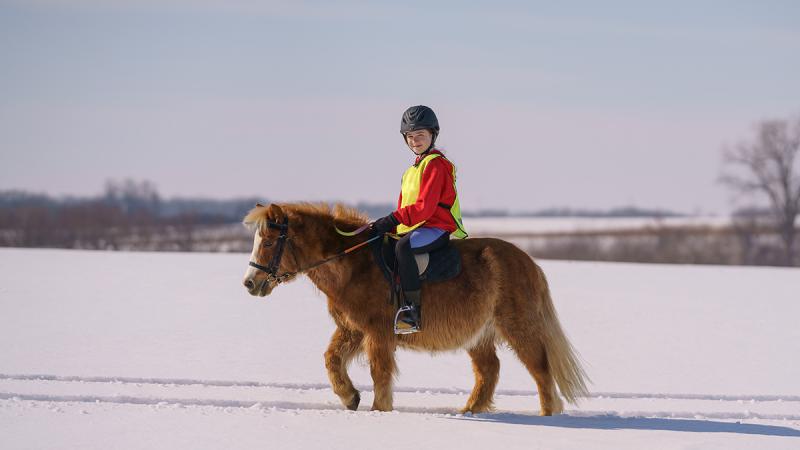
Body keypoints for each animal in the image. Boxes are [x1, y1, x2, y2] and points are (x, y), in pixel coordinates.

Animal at [239, 203, 588, 414]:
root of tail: (529, 262)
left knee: (540, 369)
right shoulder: (352, 328)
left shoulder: (377, 332)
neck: (353, 264)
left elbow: (380, 372)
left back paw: (548, 414)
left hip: (518, 327)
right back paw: (468, 412)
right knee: (489, 370)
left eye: (268, 242)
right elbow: (331, 359)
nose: (250, 283)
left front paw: (379, 411)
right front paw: (350, 398)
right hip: (480, 334)